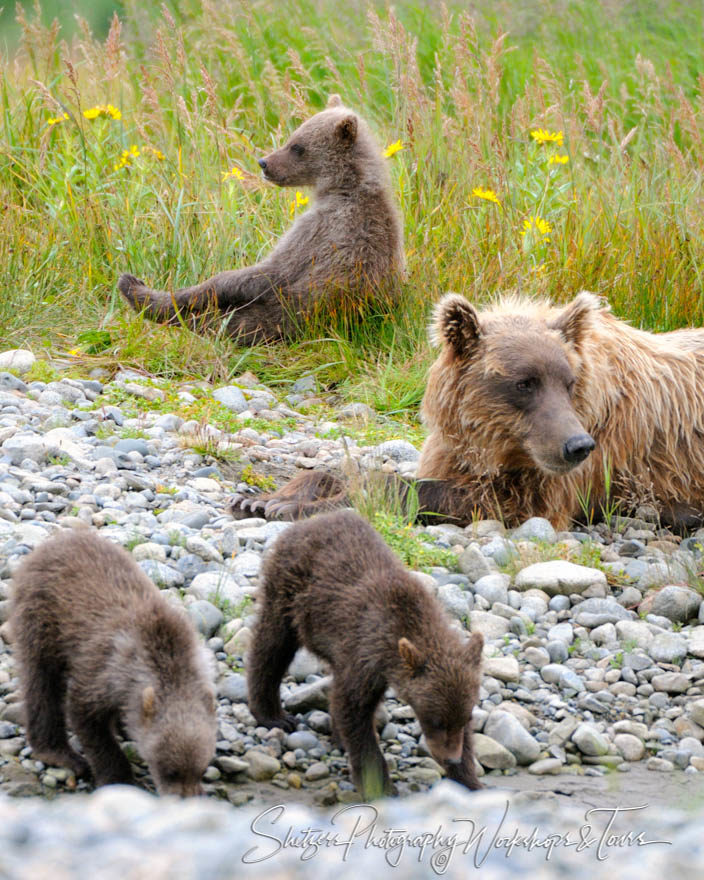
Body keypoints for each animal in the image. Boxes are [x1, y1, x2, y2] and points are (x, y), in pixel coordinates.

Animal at [118, 95, 404, 344]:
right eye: (292, 137)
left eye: (297, 146)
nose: (264, 162)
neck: (346, 187)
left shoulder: (321, 229)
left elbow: (267, 272)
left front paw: (170, 294)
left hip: (284, 313)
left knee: (220, 320)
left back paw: (138, 292)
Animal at [234, 290, 704, 528]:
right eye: (525, 382)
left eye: (569, 383)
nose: (577, 445)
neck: (495, 442)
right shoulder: (460, 449)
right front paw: (264, 498)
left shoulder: (572, 472)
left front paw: (298, 506)